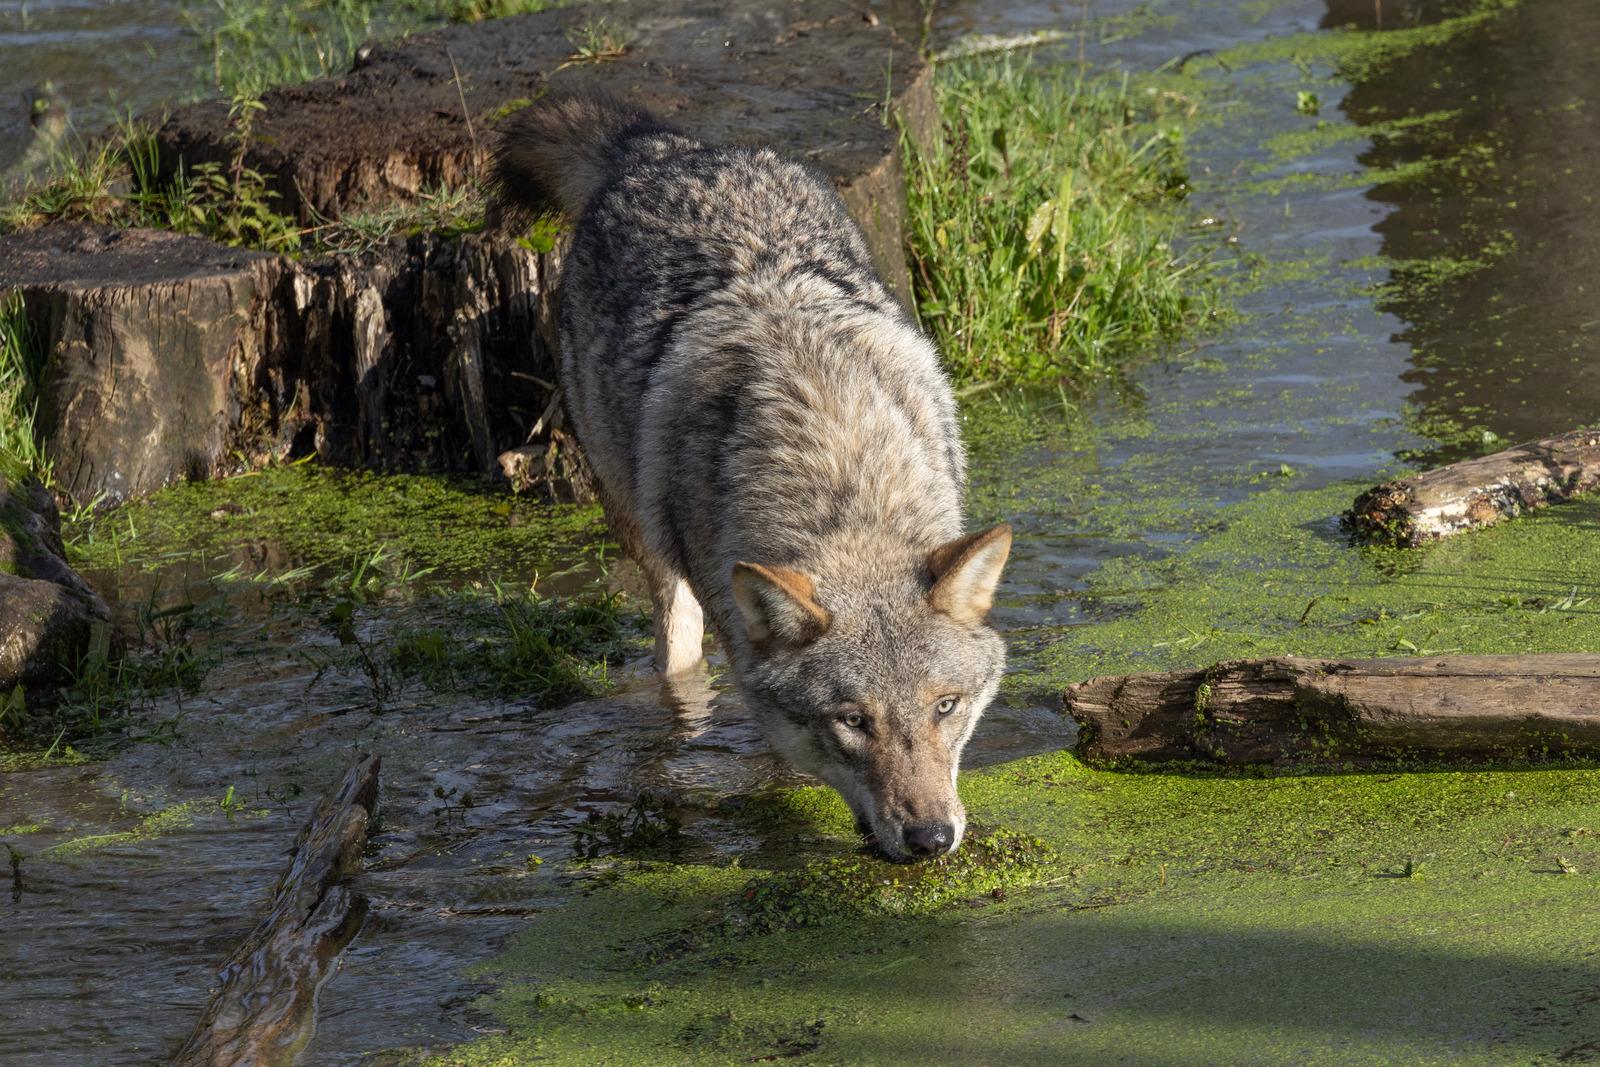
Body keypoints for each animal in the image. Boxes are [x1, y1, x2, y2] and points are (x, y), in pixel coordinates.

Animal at [493, 93, 1012, 860]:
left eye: (945, 706)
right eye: (853, 721)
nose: (930, 838)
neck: (839, 469)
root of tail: (663, 150)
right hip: (642, 528)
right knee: (674, 648)